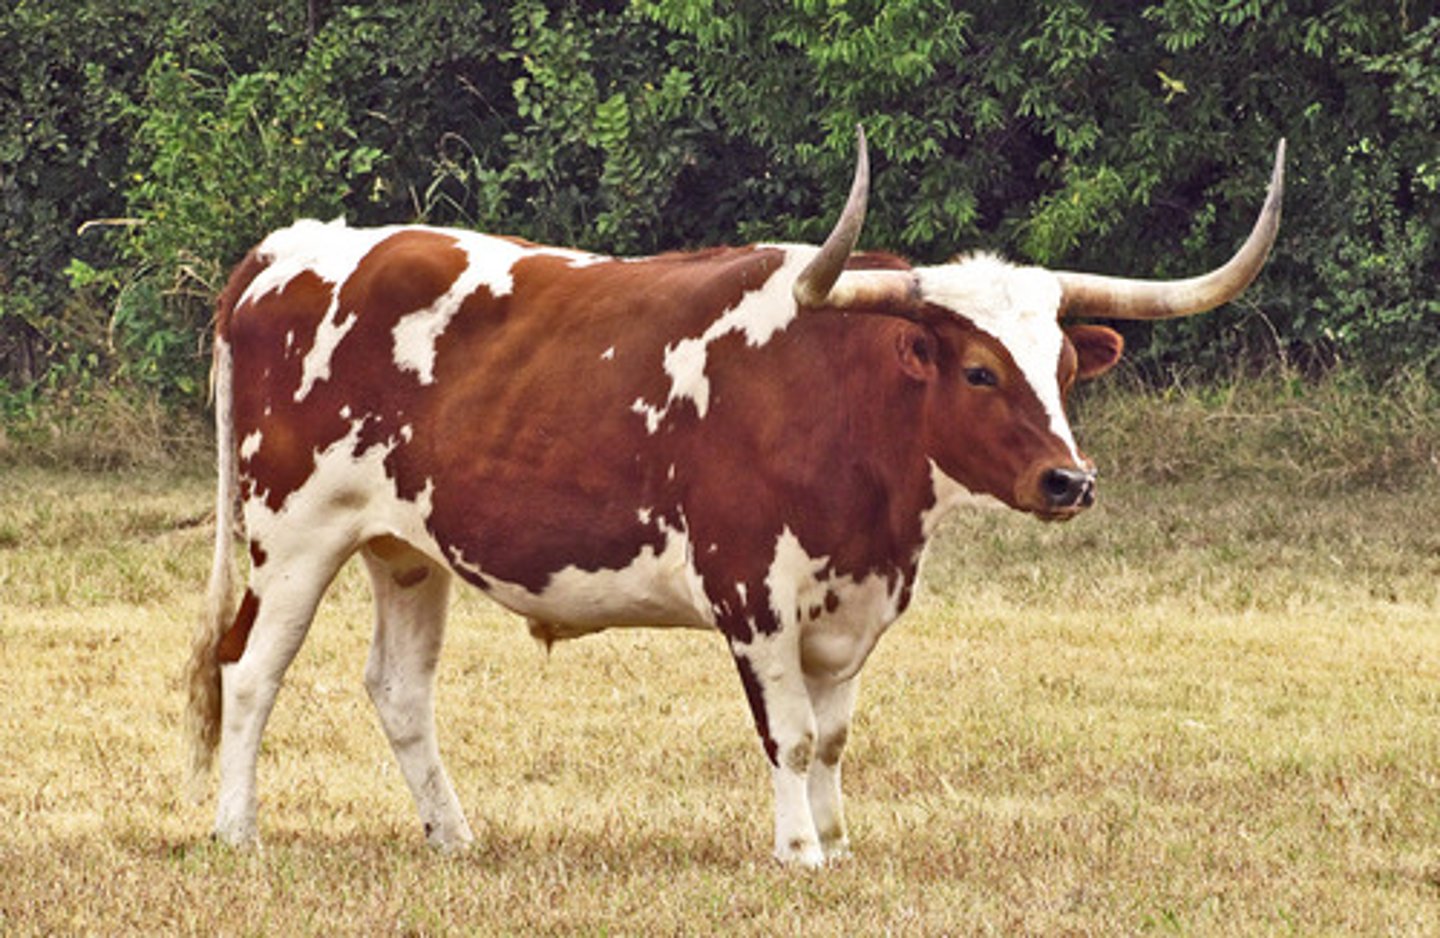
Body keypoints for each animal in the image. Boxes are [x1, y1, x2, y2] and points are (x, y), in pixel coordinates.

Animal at [186, 130, 1283, 867]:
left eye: (1061, 364)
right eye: (977, 370)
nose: (1070, 479)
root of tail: (287, 251)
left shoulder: (854, 603)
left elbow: (831, 735)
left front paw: (837, 843)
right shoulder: (752, 592)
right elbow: (789, 733)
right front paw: (799, 855)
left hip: (405, 549)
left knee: (399, 690)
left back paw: (453, 836)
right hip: (293, 534)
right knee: (249, 670)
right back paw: (237, 830)